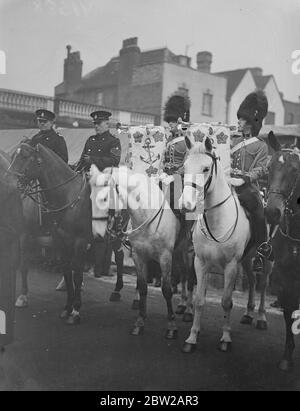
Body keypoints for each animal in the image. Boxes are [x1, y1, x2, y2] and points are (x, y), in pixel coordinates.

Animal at [11, 143, 92, 326]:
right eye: (12, 156)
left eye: (24, 157)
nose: (8, 181)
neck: (68, 195)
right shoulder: (61, 240)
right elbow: (67, 271)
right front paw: (68, 307)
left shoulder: (79, 240)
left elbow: (76, 274)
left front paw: (75, 311)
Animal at [89, 166, 193, 340]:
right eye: (90, 197)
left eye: (104, 198)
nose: (97, 234)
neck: (147, 215)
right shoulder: (139, 256)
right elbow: (143, 286)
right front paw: (139, 322)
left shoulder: (165, 257)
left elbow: (166, 290)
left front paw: (171, 327)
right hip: (179, 251)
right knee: (184, 274)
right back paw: (183, 304)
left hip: (190, 251)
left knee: (192, 279)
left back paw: (190, 311)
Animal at [179, 136, 274, 354]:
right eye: (185, 166)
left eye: (206, 168)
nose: (185, 205)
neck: (217, 220)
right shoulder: (200, 263)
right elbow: (199, 301)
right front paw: (192, 337)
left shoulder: (230, 266)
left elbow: (226, 302)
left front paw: (225, 338)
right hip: (247, 259)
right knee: (252, 280)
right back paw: (248, 314)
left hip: (267, 259)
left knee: (263, 284)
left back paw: (261, 317)